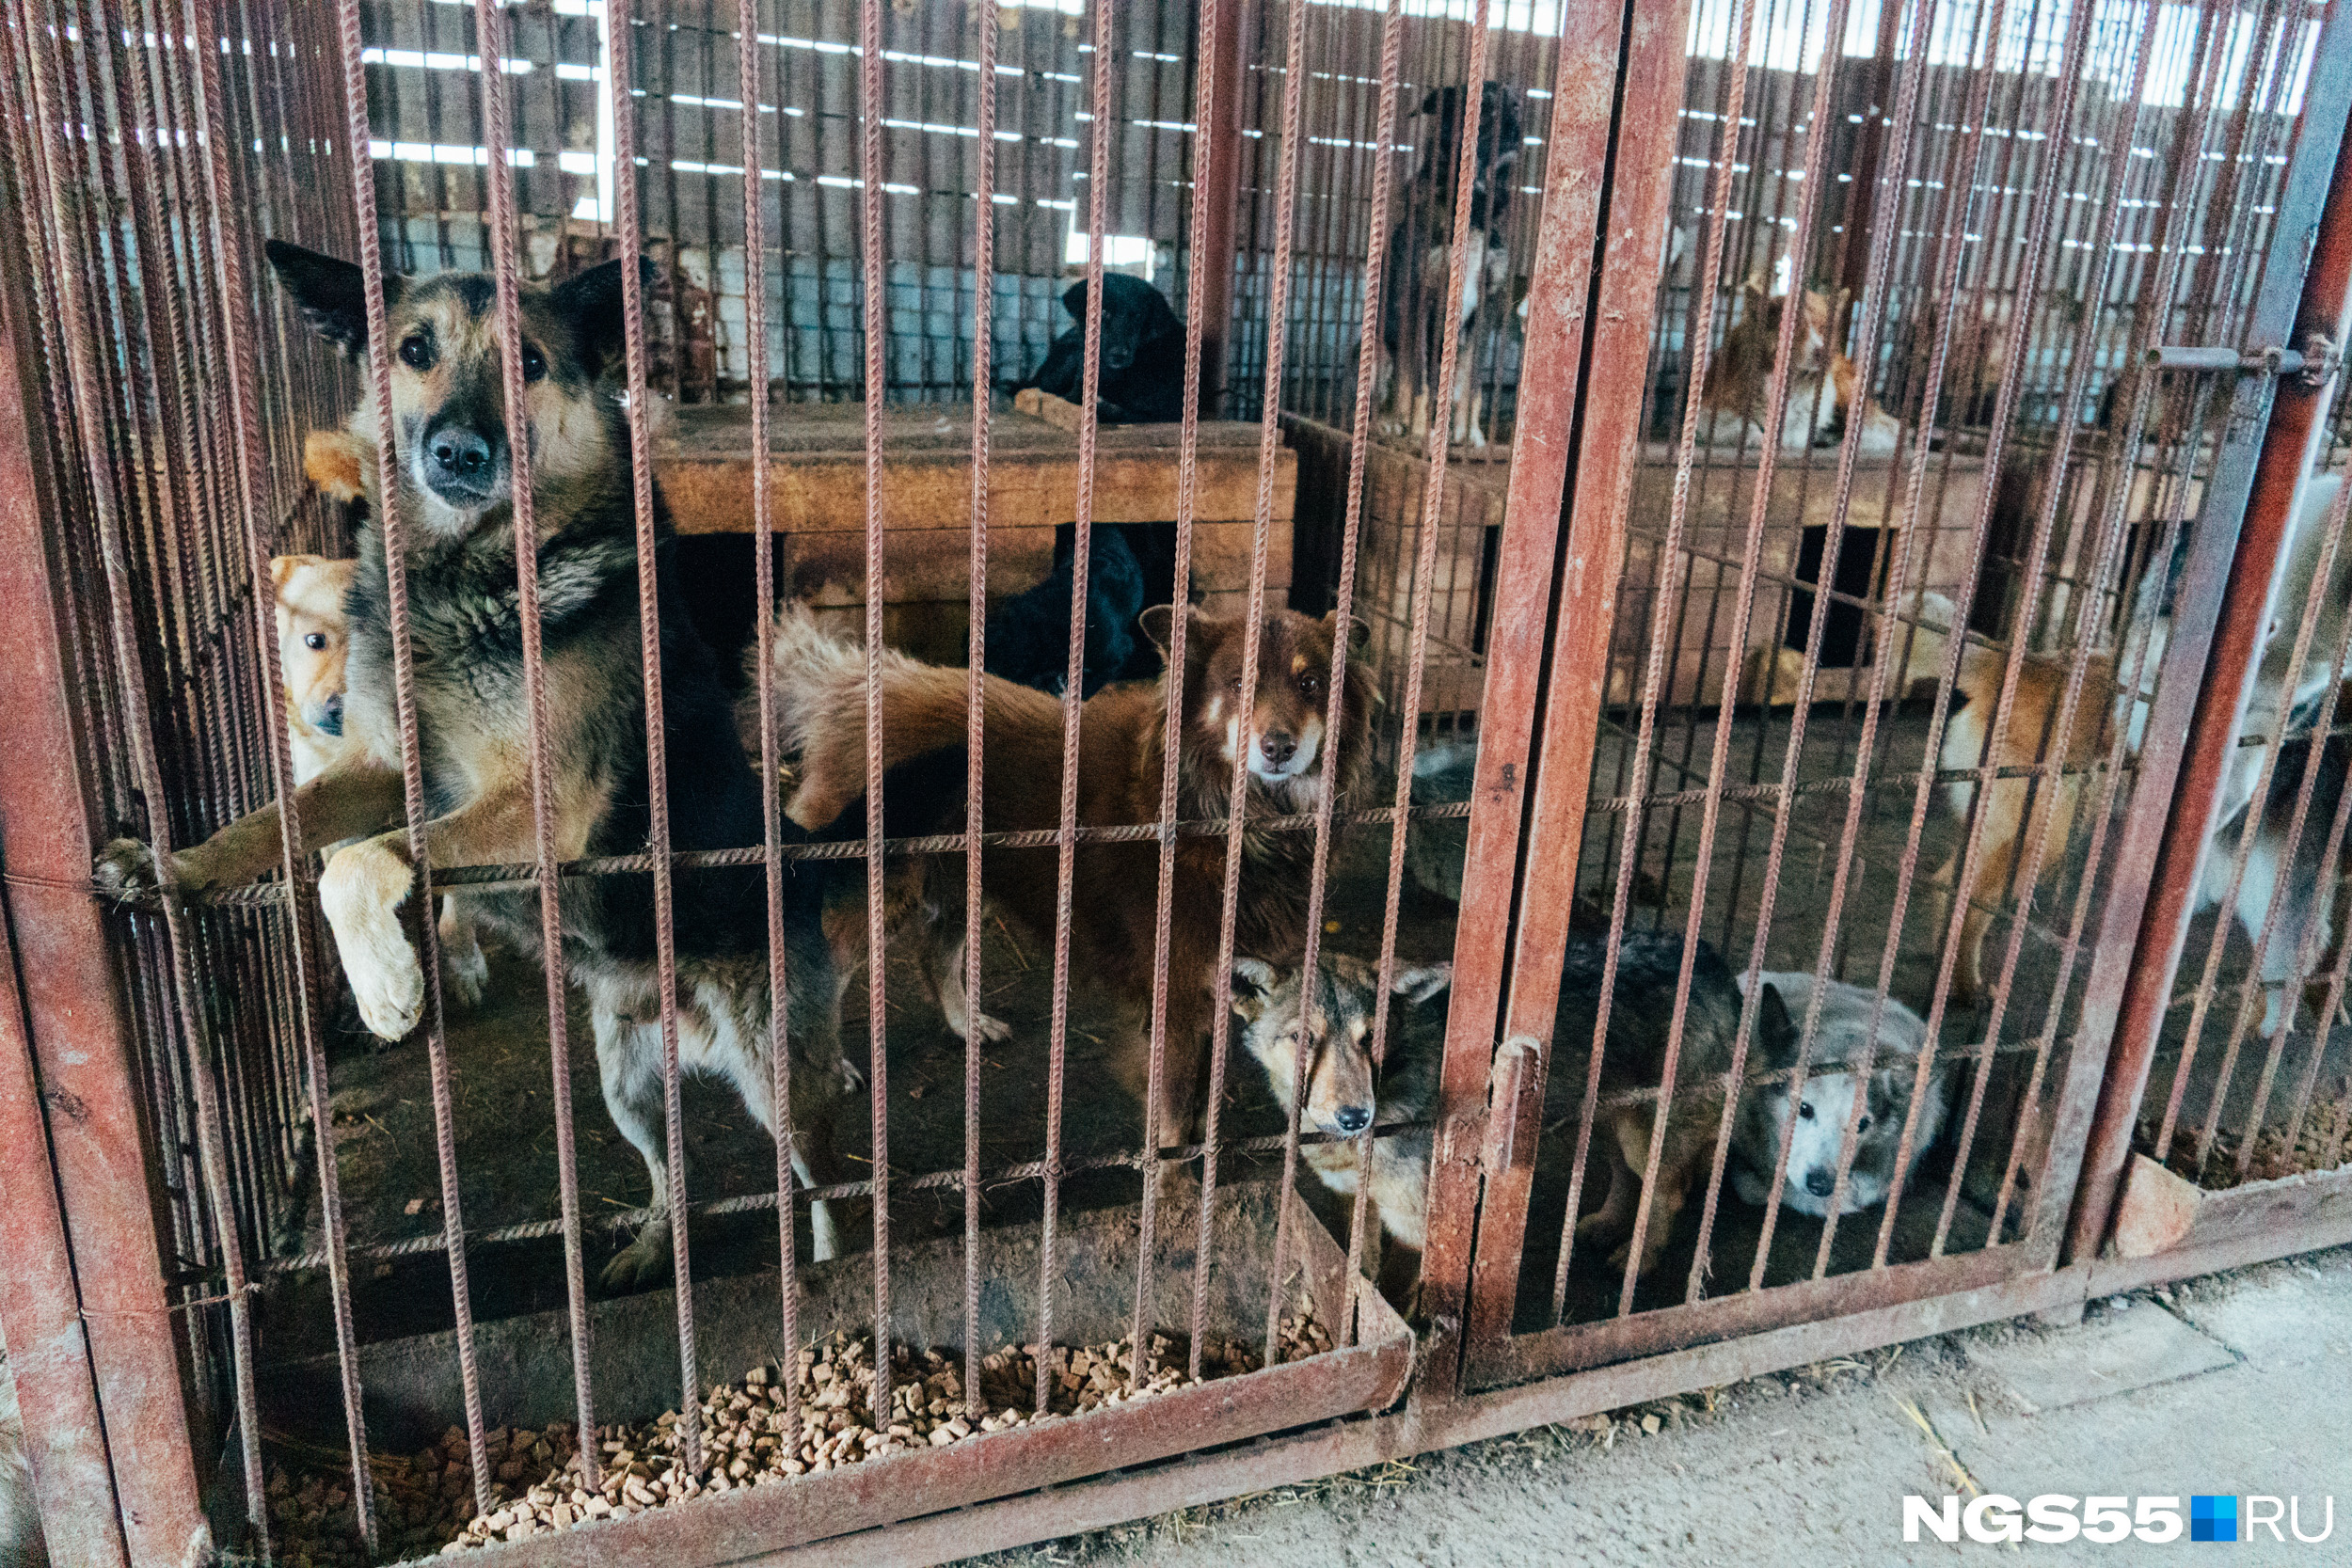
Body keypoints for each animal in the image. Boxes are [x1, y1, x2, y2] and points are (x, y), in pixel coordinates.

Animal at [101, 242, 861, 1288]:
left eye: (529, 363)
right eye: (414, 350)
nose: (460, 451)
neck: (464, 582)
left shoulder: (541, 804)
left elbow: (360, 859)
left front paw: (386, 986)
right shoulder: (382, 765)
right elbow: (274, 825)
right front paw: (172, 864)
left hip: (780, 1076)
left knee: (825, 1177)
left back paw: (826, 1262)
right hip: (624, 1082)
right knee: (674, 1168)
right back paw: (651, 1244)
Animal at [762, 596, 1374, 1165]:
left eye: (1311, 683)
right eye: (1238, 683)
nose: (1278, 747)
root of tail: (849, 687)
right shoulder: (1175, 998)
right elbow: (1174, 1122)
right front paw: (1170, 1188)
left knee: (935, 955)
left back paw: (968, 1025)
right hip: (863, 902)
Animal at [1374, 80, 1524, 451]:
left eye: (1517, 105)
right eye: (1484, 105)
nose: (1516, 123)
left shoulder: (1485, 307)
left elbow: (1474, 386)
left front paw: (1471, 434)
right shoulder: (1421, 300)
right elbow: (1420, 381)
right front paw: (1418, 432)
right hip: (1381, 351)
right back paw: (1391, 422)